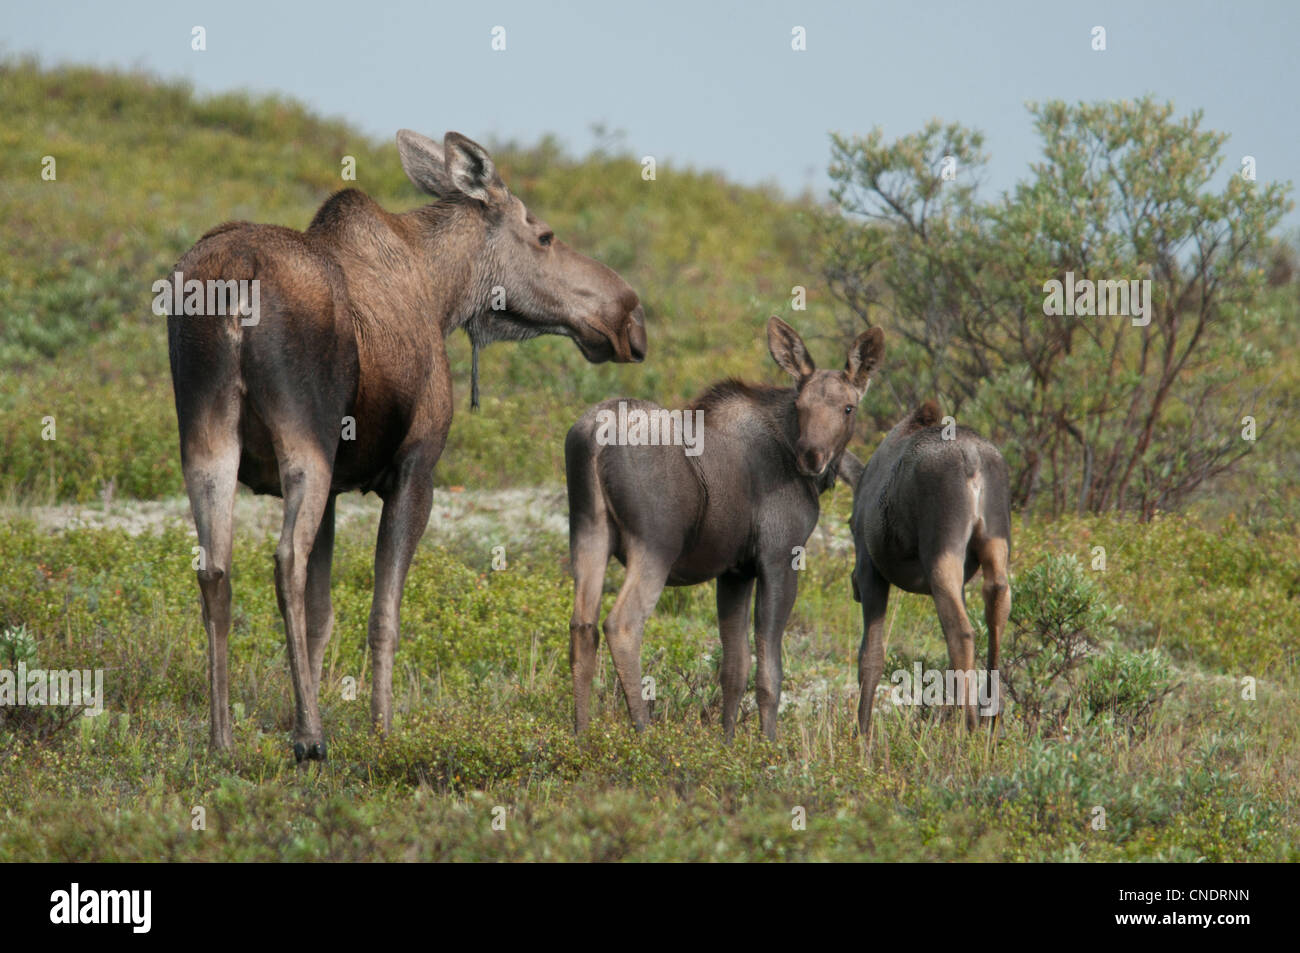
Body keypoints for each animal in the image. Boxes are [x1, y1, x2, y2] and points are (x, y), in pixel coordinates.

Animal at [167, 130, 644, 764]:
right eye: (543, 235)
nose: (628, 314)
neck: (445, 295)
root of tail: (233, 281)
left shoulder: (340, 485)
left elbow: (323, 614)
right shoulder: (416, 469)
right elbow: (383, 614)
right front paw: (382, 728)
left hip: (206, 435)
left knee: (215, 568)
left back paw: (222, 740)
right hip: (304, 436)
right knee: (284, 560)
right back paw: (309, 737)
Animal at [561, 315, 878, 738]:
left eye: (847, 407)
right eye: (801, 405)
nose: (812, 457)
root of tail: (593, 442)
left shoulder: (734, 572)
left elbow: (734, 668)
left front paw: (727, 741)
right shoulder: (779, 556)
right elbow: (770, 671)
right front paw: (767, 742)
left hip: (587, 533)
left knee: (583, 626)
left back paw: (580, 734)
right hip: (655, 545)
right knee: (622, 624)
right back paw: (643, 731)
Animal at [842, 400, 1013, 738]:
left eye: (850, 524)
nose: (852, 585)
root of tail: (973, 461)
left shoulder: (872, 571)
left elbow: (870, 656)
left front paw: (862, 733)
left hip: (941, 550)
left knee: (961, 632)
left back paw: (968, 726)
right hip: (993, 542)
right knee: (997, 606)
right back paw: (990, 717)